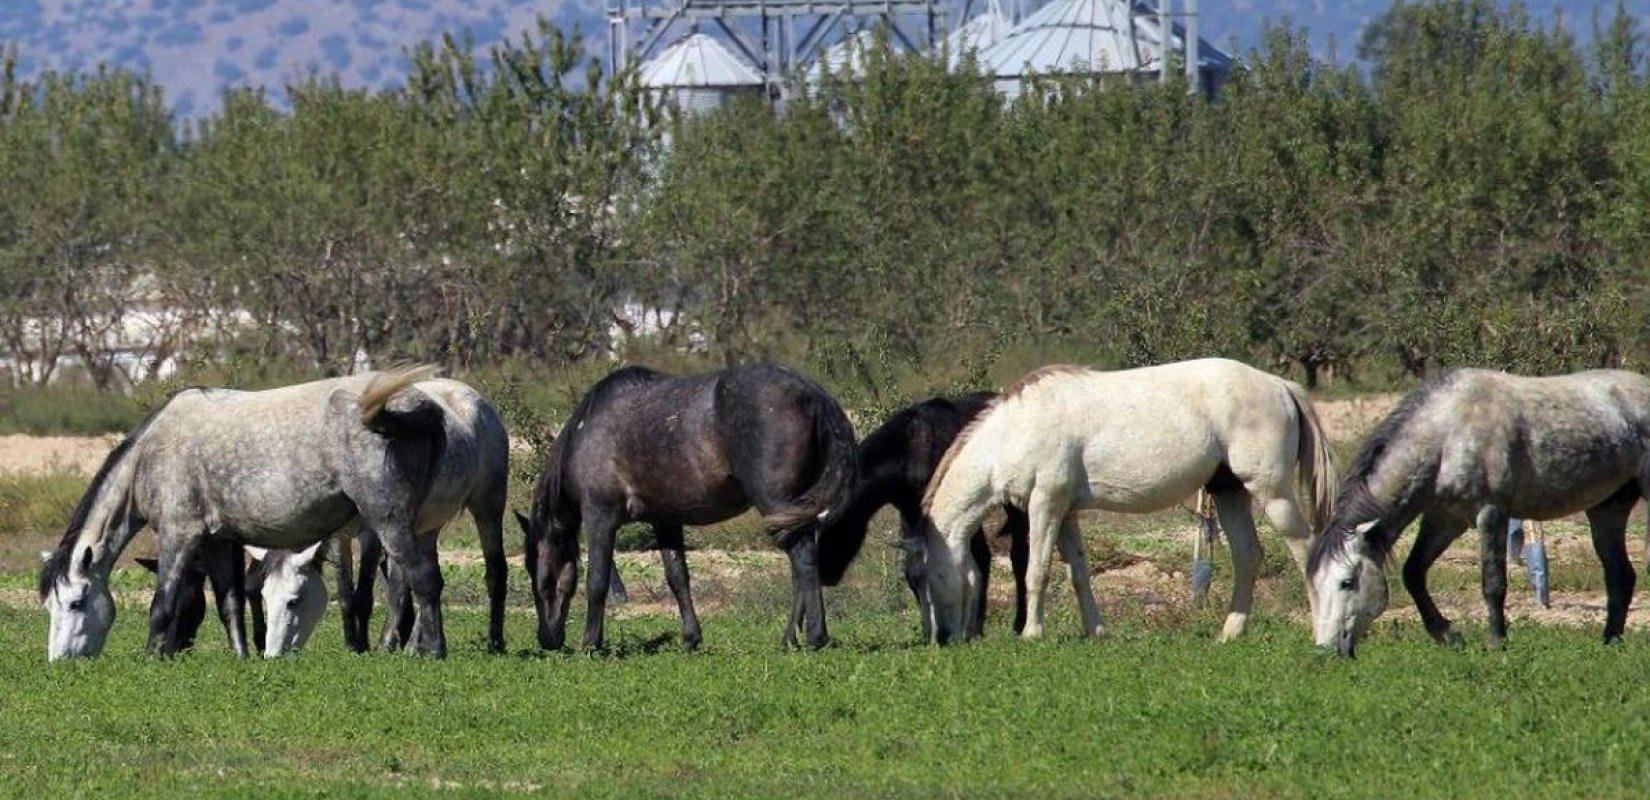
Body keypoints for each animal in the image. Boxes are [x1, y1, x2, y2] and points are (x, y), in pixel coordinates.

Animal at [38, 364, 508, 656]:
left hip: (400, 518)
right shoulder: (217, 541)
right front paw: (241, 655)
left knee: (427, 580)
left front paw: (153, 656)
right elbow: (229, 603)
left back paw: (436, 651)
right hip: (426, 521)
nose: (61, 662)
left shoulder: (179, 534)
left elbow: (162, 604)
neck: (152, 453)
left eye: (76, 603)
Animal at [514, 361, 858, 649]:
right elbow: (677, 576)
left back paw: (814, 637)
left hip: (777, 504)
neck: (588, 432)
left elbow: (597, 579)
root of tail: (813, 391)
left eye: (538, 573)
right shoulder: (665, 520)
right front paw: (691, 638)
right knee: (802, 565)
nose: (547, 639)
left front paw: (591, 642)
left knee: (803, 559)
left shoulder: (600, 516)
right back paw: (789, 638)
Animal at [815, 389, 1029, 640]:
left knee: (1019, 556)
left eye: (835, 528)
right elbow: (914, 568)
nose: (825, 574)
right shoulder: (911, 512)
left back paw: (1018, 623)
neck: (907, 456)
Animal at [924, 357, 1333, 646]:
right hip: (1229, 493)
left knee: (1306, 550)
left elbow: (1037, 571)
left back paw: (1320, 633)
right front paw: (1097, 630)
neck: (1016, 429)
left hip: (1273, 493)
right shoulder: (1066, 512)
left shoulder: (1046, 505)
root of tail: (1280, 385)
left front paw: (1032, 634)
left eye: (930, 575)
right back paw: (1230, 633)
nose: (942, 639)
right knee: (1247, 555)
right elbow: (1079, 573)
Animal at [1313, 367, 1650, 656]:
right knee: (1620, 576)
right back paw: (1610, 642)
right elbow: (1413, 573)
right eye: (1314, 584)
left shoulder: (1491, 513)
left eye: (1347, 582)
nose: (1325, 651)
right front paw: (1449, 636)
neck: (1447, 433)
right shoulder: (1445, 520)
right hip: (1607, 509)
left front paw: (1496, 642)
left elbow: (1493, 583)